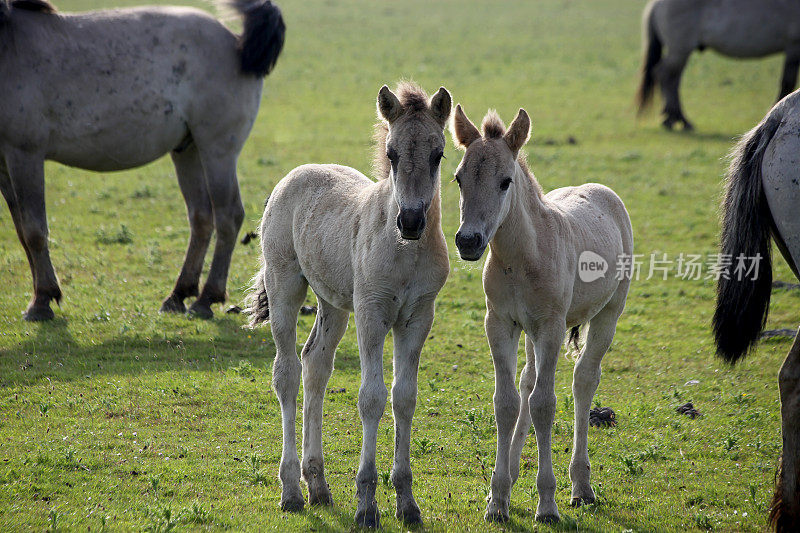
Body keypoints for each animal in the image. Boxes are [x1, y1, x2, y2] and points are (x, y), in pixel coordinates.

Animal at [0, 0, 286, 320]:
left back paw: (205, 298)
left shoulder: (25, 153)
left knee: (228, 216)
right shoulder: (3, 164)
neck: (8, 41)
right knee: (201, 218)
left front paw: (41, 301)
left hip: (217, 151)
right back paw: (178, 294)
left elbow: (34, 230)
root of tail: (237, 42)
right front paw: (42, 294)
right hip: (188, 151)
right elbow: (21, 230)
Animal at [247, 83, 454, 528]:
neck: (405, 251)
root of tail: (291, 177)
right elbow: (371, 398)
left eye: (438, 154)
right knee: (286, 373)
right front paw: (367, 505)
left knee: (315, 365)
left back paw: (318, 487)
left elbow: (404, 397)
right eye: (392, 153)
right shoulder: (372, 314)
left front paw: (407, 503)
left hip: (333, 305)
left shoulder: (417, 318)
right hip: (285, 286)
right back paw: (292, 491)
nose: (412, 220)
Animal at [450, 106, 632, 520]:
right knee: (527, 382)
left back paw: (581, 486)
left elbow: (544, 406)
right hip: (530, 333)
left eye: (505, 181)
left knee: (583, 380)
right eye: (458, 178)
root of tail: (604, 191)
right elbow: (507, 403)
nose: (468, 241)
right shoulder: (500, 324)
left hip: (607, 314)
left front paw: (547, 503)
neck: (521, 259)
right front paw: (497, 499)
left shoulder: (550, 327)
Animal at [636, 0, 800, 130]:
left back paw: (674, 118)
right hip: (680, 50)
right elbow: (787, 83)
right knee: (665, 75)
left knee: (671, 79)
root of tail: (656, 4)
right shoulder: (793, 47)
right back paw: (676, 119)